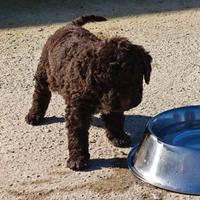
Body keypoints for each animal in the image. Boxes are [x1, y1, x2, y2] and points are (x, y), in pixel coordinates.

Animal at [25, 14, 152, 170]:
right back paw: (34, 115)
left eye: (136, 76)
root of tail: (69, 25)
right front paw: (77, 159)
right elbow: (78, 133)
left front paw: (118, 137)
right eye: (106, 82)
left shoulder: (112, 105)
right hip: (44, 71)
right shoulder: (78, 109)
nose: (127, 101)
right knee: (40, 94)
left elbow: (115, 120)